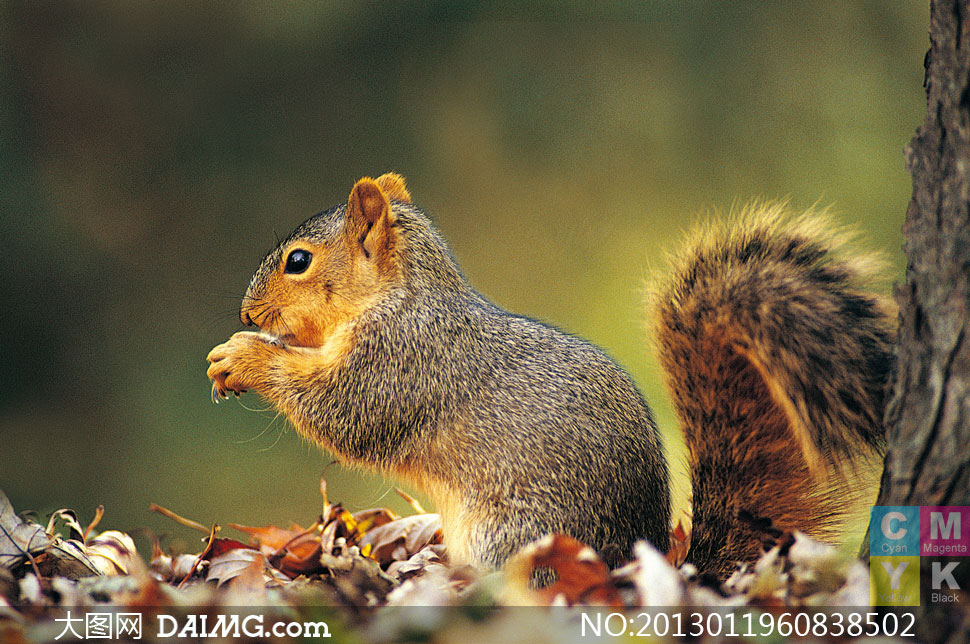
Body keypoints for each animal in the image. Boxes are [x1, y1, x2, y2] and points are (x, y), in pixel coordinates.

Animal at [208, 174, 896, 580]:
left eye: (299, 262)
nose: (245, 312)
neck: (401, 293)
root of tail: (633, 560)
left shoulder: (402, 359)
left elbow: (344, 411)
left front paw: (243, 356)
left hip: (513, 537)